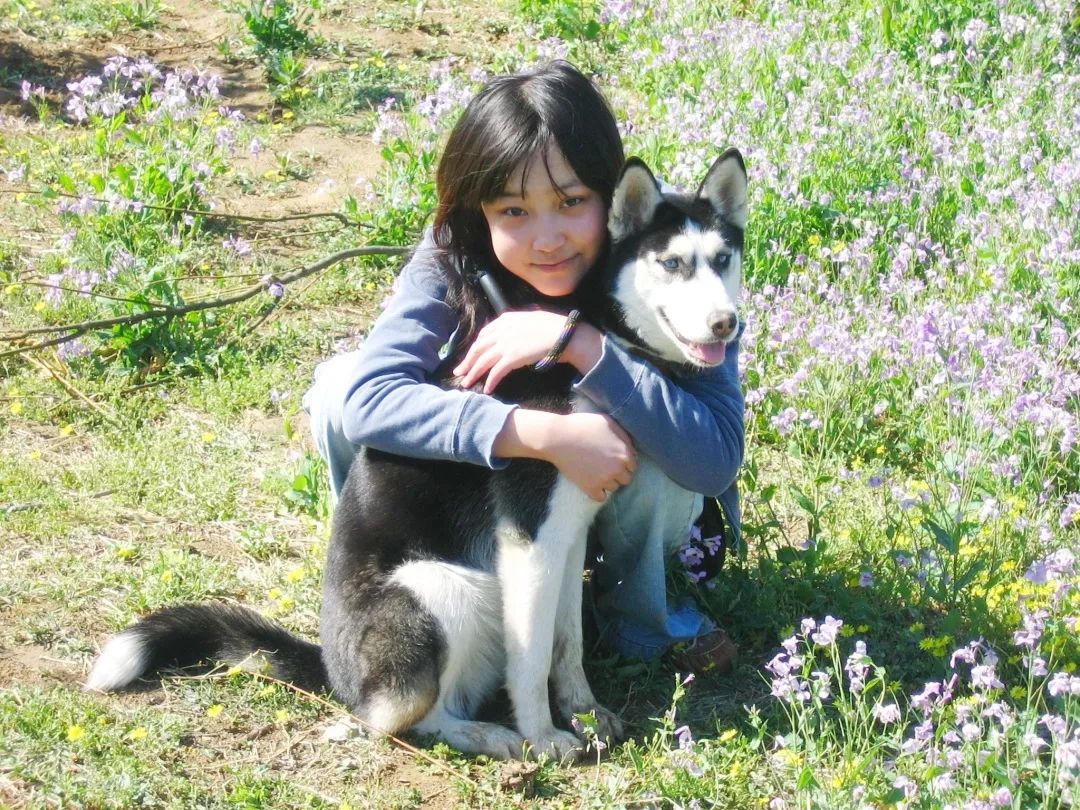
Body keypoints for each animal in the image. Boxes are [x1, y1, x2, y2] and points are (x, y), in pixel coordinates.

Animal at [84, 149, 747, 764]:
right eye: (671, 263)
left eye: (722, 259)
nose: (727, 324)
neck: (595, 339)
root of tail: (335, 673)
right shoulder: (529, 539)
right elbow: (532, 657)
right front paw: (546, 736)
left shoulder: (567, 532)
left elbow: (566, 643)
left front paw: (584, 713)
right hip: (444, 588)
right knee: (400, 718)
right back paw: (491, 735)